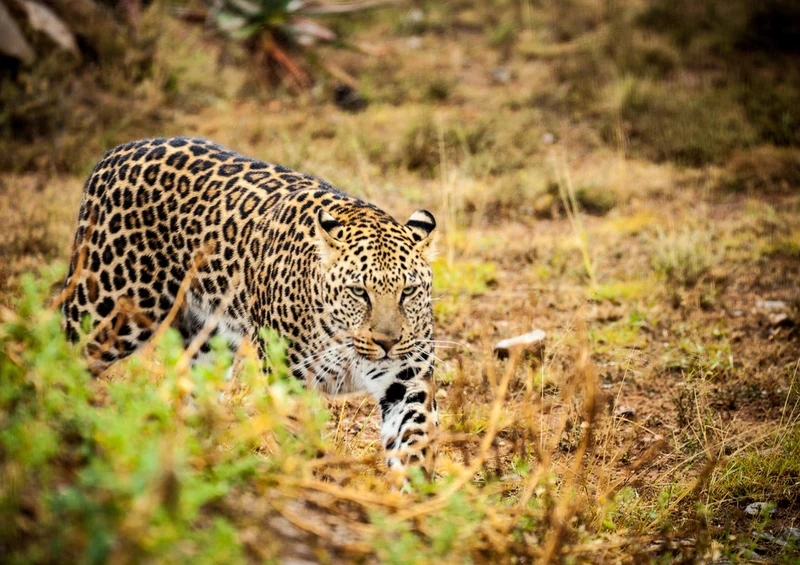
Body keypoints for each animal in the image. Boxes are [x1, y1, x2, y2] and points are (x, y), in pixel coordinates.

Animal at [61, 136, 439, 472]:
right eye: (359, 292)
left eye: (408, 291)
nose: (387, 342)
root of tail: (116, 152)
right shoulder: (288, 380)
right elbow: (297, 439)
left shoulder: (407, 380)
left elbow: (414, 440)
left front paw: (415, 494)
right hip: (106, 307)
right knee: (66, 354)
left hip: (208, 339)